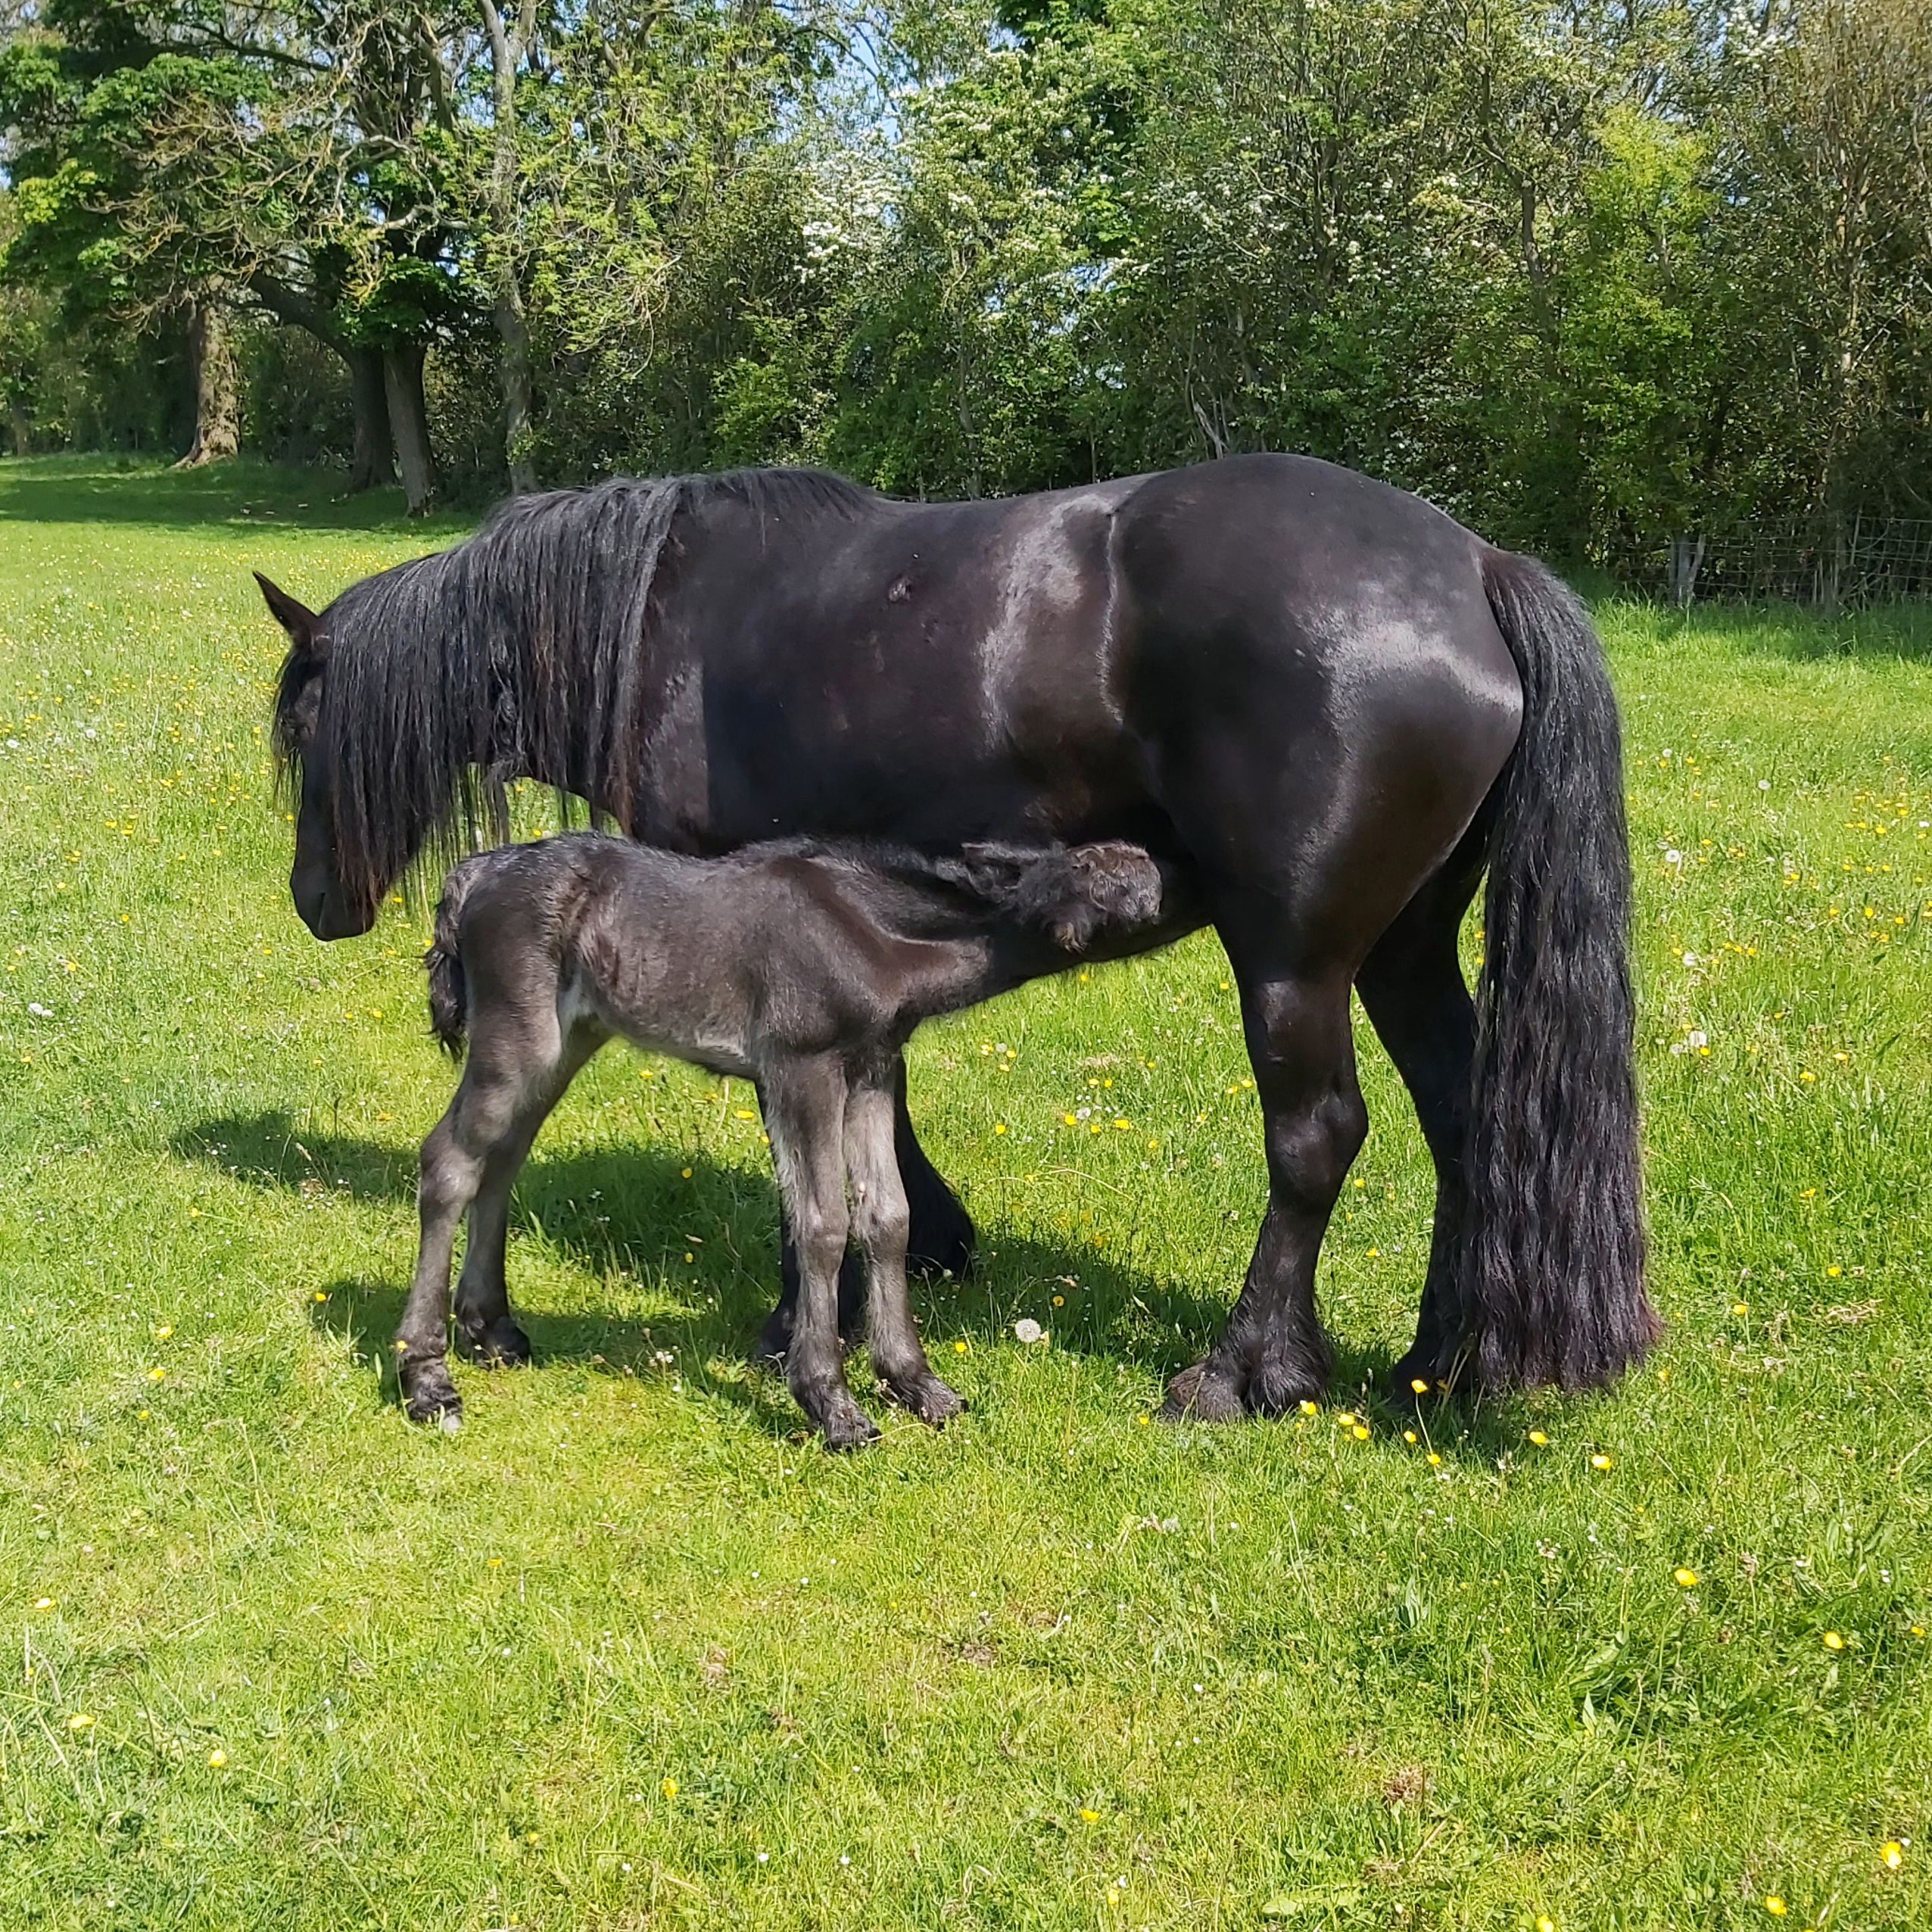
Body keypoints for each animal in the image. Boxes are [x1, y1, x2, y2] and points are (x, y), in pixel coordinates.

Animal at [397, 834, 1151, 1453]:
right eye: (1089, 866)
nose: (1150, 872)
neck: (870, 933)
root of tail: (473, 873)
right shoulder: (801, 1068)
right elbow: (822, 1224)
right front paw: (831, 1404)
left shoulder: (873, 1069)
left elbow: (889, 1217)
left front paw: (915, 1382)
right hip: (516, 1036)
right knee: (450, 1163)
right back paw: (426, 1377)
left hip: (567, 1041)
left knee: (501, 1161)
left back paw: (493, 1330)